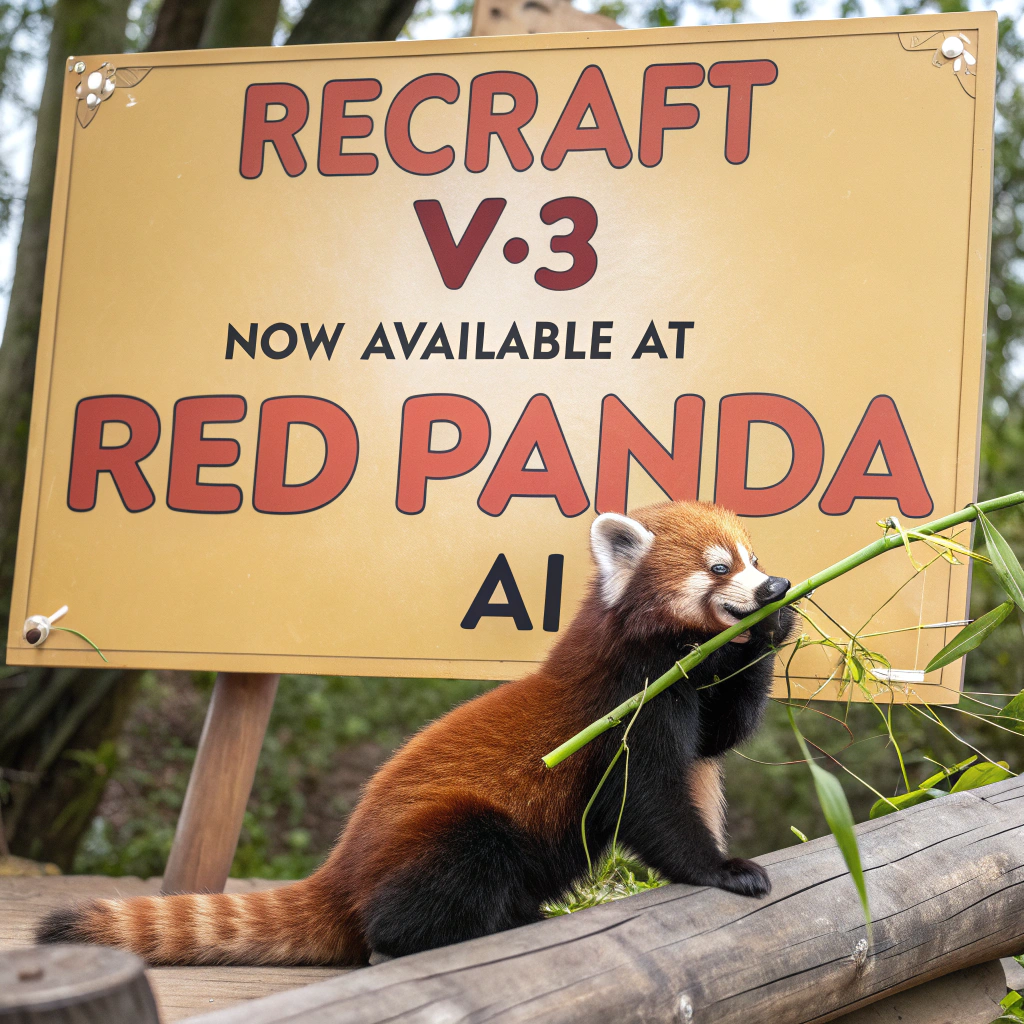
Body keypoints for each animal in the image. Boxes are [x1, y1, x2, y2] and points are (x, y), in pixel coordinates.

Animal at [38, 500, 794, 966]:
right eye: (719, 567)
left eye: (755, 558)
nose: (771, 587)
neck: (669, 653)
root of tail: (340, 867)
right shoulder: (624, 700)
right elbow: (649, 801)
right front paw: (725, 869)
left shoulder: (695, 687)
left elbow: (717, 737)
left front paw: (779, 627)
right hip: (448, 830)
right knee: (441, 876)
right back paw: (477, 927)